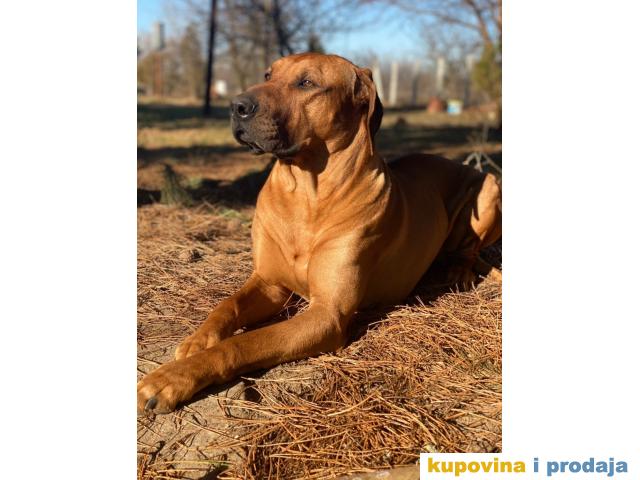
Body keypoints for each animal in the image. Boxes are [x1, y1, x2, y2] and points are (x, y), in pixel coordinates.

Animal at [137, 53, 501, 414]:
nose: (236, 105)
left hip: (489, 187)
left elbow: (245, 342)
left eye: (307, 82)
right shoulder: (270, 282)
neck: (306, 193)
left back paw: (458, 271)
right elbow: (226, 305)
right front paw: (198, 340)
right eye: (267, 74)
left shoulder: (327, 313)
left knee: (469, 248)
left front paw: (172, 378)